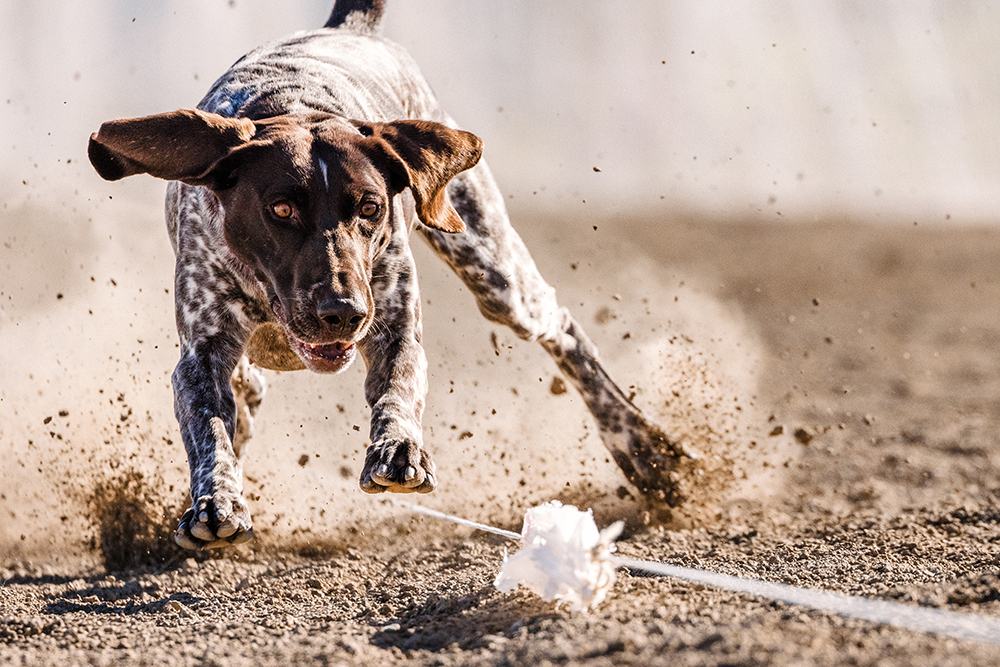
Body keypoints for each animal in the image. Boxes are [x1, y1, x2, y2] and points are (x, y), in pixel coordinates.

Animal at [90, 0, 692, 552]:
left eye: (371, 207)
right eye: (280, 209)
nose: (343, 313)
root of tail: (348, 28)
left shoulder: (392, 322)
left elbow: (399, 388)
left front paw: (398, 450)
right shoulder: (205, 350)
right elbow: (210, 426)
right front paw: (216, 500)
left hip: (491, 267)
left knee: (561, 329)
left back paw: (646, 454)